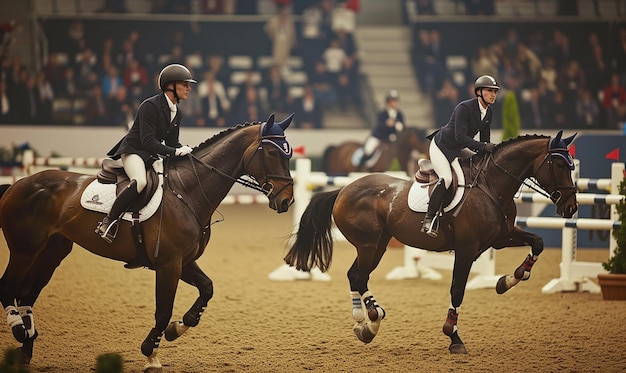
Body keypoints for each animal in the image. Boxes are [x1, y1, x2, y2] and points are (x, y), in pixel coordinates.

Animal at [0, 113, 294, 372]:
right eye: (272, 154)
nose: (286, 200)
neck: (188, 191)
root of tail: (18, 184)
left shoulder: (184, 262)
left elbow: (207, 289)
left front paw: (177, 329)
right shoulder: (168, 264)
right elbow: (162, 311)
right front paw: (150, 355)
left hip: (52, 253)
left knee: (26, 294)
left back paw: (25, 349)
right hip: (25, 251)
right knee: (8, 287)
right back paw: (19, 330)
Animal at [282, 132, 576, 354]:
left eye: (571, 166)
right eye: (560, 165)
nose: (571, 207)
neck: (492, 187)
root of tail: (343, 189)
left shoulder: (501, 237)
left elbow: (538, 242)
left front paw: (508, 280)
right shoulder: (467, 249)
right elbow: (457, 290)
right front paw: (453, 337)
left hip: (378, 244)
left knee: (355, 275)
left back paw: (364, 324)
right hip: (368, 245)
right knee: (358, 276)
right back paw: (372, 319)